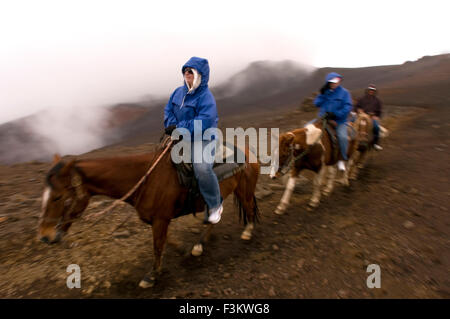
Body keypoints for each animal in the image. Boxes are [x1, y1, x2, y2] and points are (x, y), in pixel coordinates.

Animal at [38, 144, 260, 288]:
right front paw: (182, 249)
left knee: (249, 207)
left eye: (58, 197)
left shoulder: (160, 220)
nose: (45, 236)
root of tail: (248, 152)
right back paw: (199, 245)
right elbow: (166, 241)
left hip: (244, 190)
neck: (145, 178)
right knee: (215, 217)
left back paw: (248, 232)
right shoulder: (159, 219)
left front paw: (151, 276)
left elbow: (157, 246)